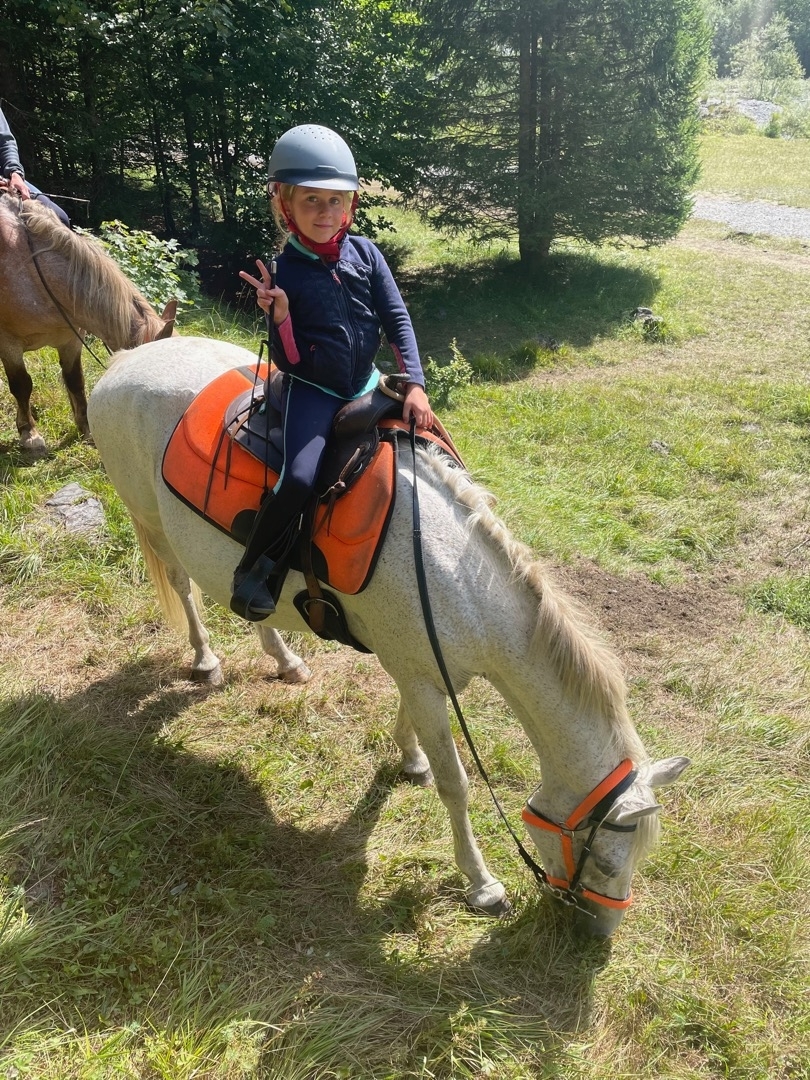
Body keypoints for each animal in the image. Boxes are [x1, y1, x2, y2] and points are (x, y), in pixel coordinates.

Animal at [0, 193, 176, 453]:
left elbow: (75, 381)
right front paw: (30, 434)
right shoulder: (8, 343)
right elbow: (22, 385)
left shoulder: (70, 340)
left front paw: (86, 430)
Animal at [87, 335, 690, 938]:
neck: (457, 577)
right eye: (605, 859)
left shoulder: (419, 666)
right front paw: (482, 883)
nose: (599, 933)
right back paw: (206, 659)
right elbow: (456, 784)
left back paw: (286, 661)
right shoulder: (423, 677)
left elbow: (412, 724)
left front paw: (410, 758)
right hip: (151, 519)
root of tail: (127, 359)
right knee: (182, 586)